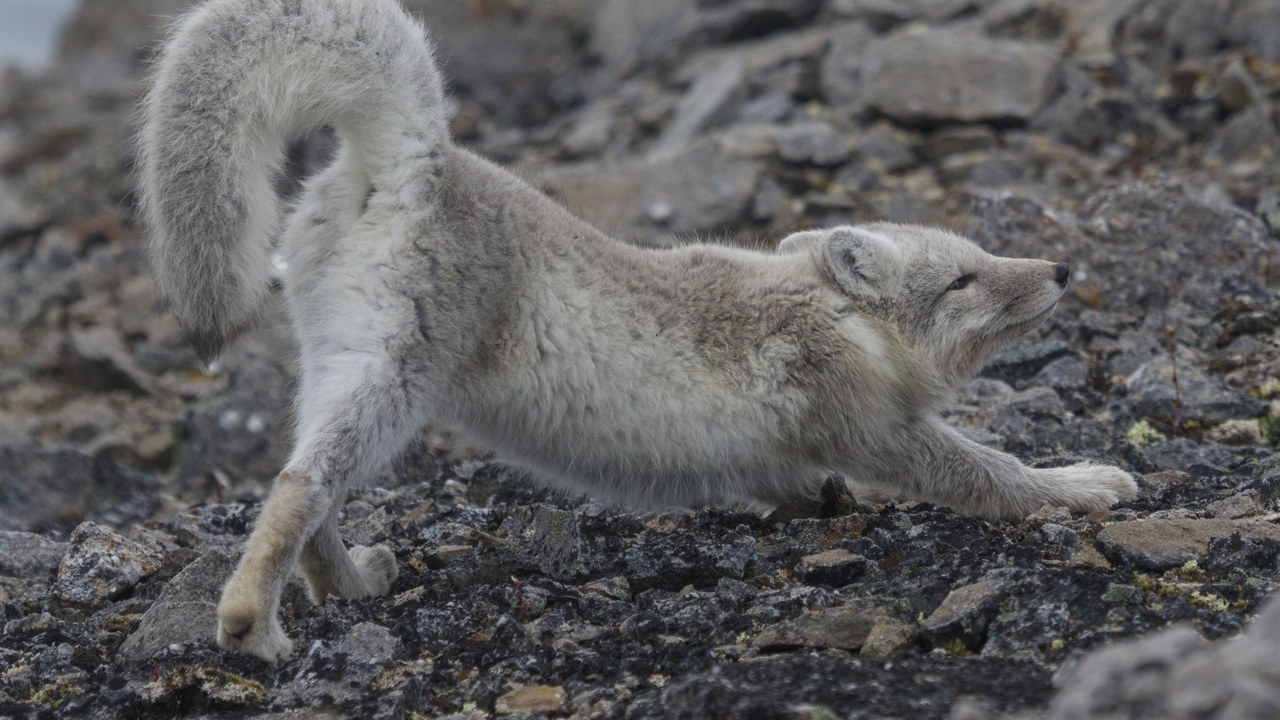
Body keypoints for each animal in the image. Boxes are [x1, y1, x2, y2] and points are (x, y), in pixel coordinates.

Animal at [139, 0, 1139, 662]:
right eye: (963, 279)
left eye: (984, 252)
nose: (1059, 271)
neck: (839, 316)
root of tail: (420, 156)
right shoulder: (875, 429)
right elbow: (991, 472)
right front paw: (1083, 484)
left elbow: (800, 485)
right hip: (397, 380)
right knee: (299, 486)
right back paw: (253, 625)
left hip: (337, 364)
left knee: (308, 487)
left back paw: (349, 584)